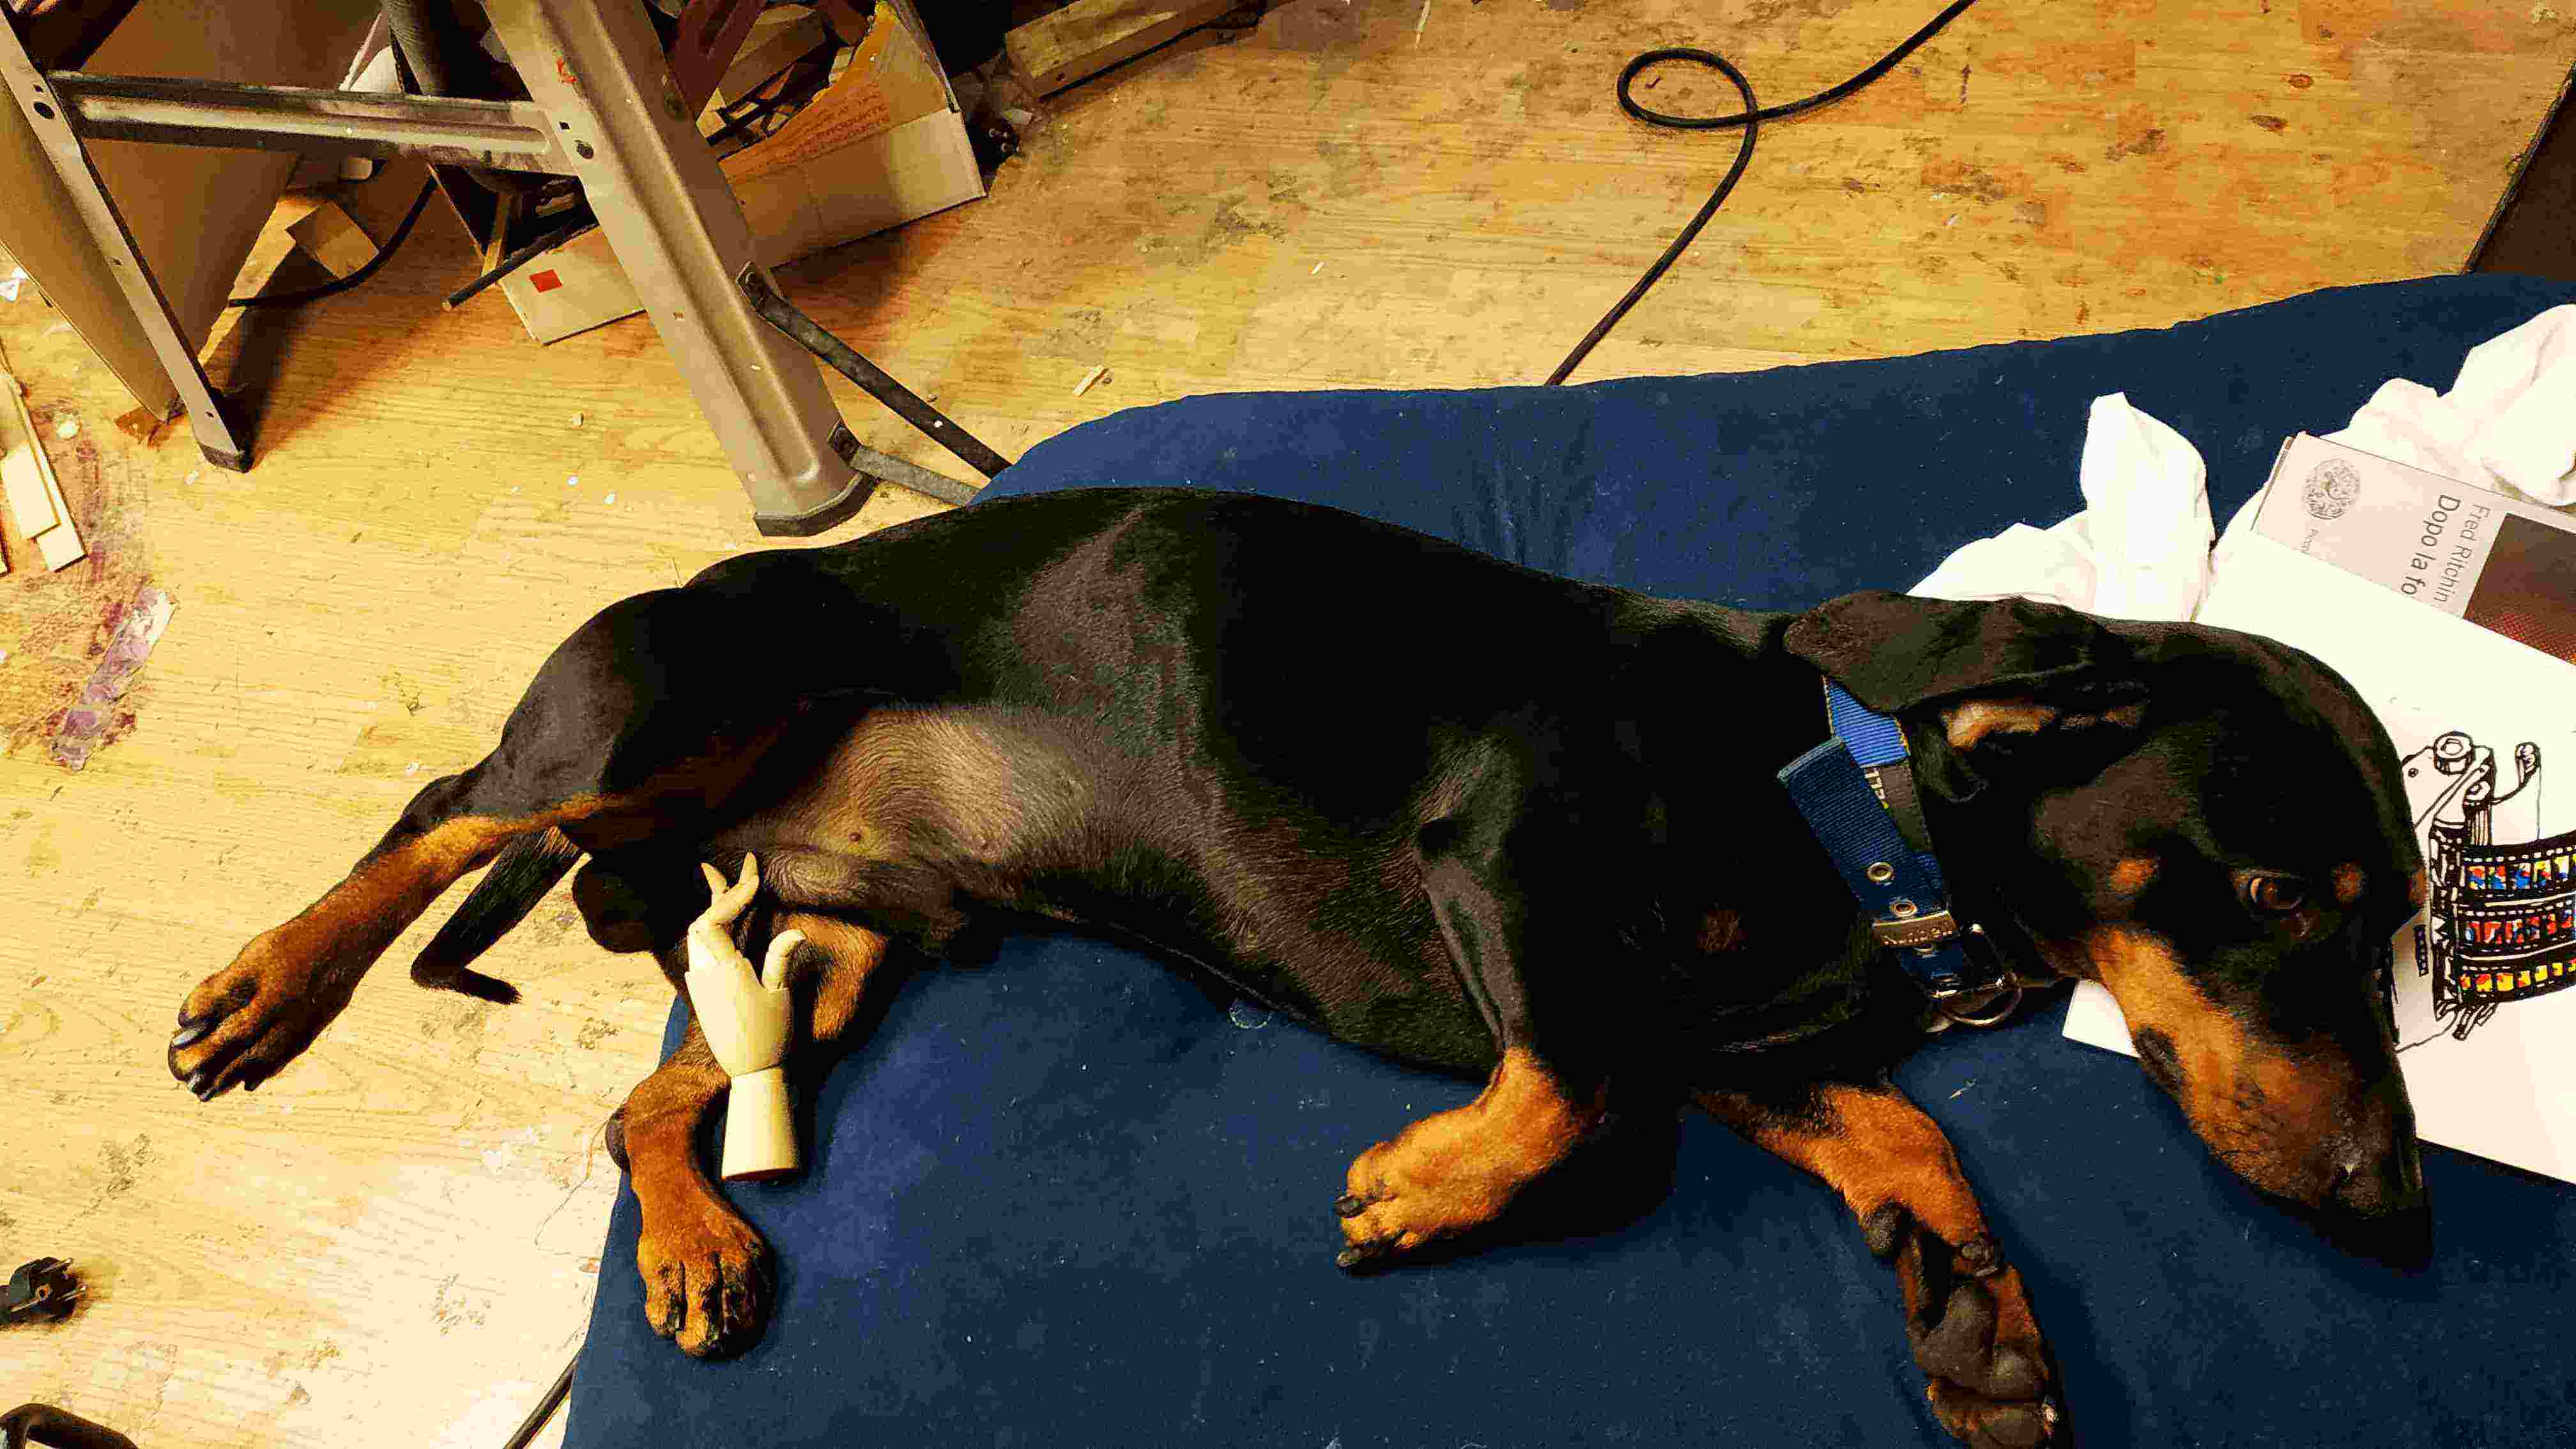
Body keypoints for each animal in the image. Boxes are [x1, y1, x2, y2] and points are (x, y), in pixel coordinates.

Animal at [168, 487, 2428, 1448]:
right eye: (2279, 887)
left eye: (2404, 918)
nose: (2402, 1217)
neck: (1835, 802)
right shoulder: (1506, 857)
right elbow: (1581, 1092)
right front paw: (1422, 1191)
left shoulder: (1744, 1040)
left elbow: (1890, 1135)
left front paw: (1974, 1311)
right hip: (652, 716)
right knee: (450, 806)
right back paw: (268, 978)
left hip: (837, 942)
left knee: (646, 1088)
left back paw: (702, 1243)